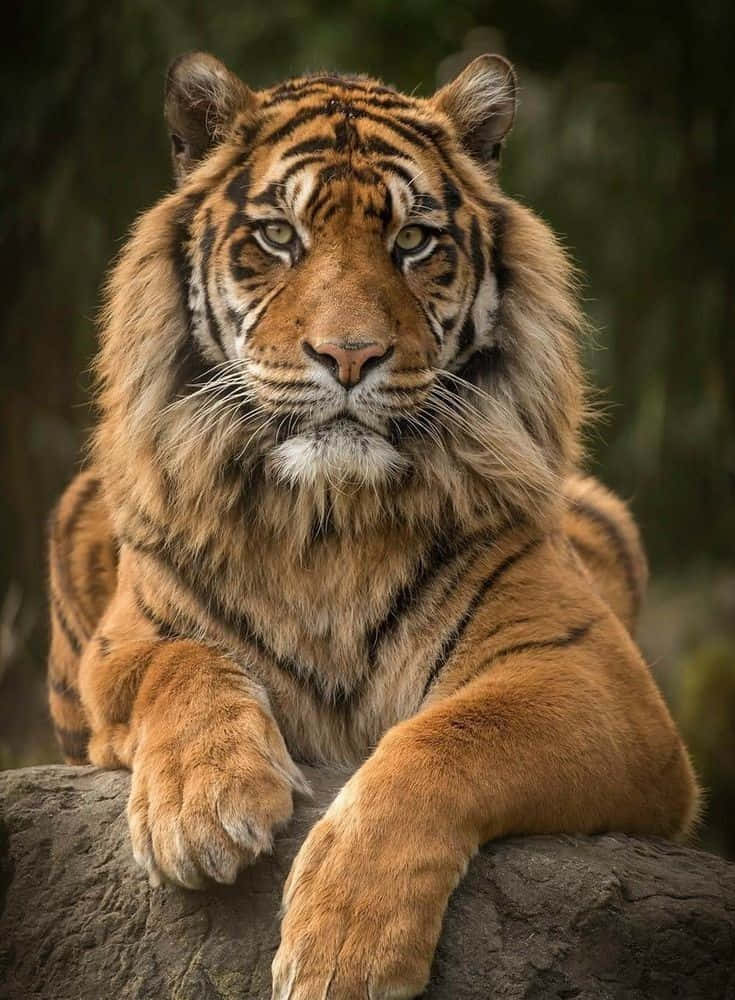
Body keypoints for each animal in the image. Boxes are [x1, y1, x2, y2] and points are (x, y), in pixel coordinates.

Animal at [47, 51, 698, 1000]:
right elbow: (180, 663)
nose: (349, 355)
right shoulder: (120, 648)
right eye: (279, 237)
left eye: (414, 241)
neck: (327, 519)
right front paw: (202, 808)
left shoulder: (596, 680)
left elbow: (448, 738)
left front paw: (343, 947)